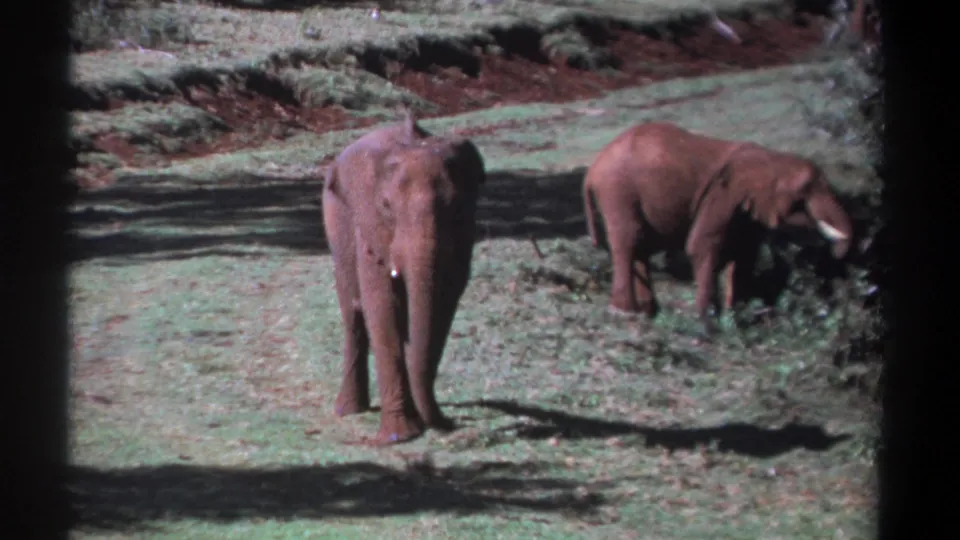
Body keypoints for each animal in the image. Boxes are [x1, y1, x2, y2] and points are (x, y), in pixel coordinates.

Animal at [322, 116, 486, 445]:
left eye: (456, 207)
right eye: (386, 207)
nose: (451, 423)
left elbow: (444, 305)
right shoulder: (369, 230)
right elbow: (382, 305)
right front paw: (399, 436)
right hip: (335, 224)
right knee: (354, 315)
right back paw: (348, 411)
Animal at [582, 121, 853, 335]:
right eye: (804, 190)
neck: (770, 159)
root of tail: (592, 170)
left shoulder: (747, 209)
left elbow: (745, 256)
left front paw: (738, 321)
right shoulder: (722, 196)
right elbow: (701, 246)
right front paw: (709, 326)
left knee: (639, 245)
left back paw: (648, 313)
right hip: (617, 190)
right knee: (627, 241)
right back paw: (624, 314)